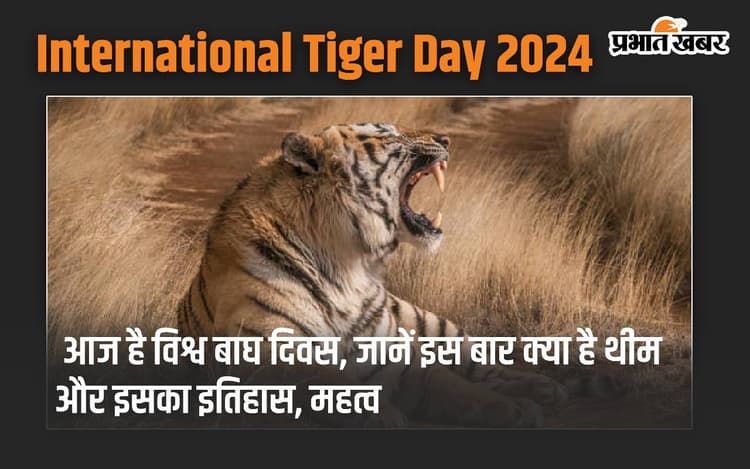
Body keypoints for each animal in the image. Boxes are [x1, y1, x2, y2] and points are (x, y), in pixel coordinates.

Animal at [176, 122, 568, 427]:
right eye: (387, 135)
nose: (446, 138)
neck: (349, 266)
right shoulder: (270, 357)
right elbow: (333, 385)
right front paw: (387, 418)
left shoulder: (395, 357)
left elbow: (451, 384)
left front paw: (516, 409)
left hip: (428, 321)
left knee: (481, 363)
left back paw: (543, 387)